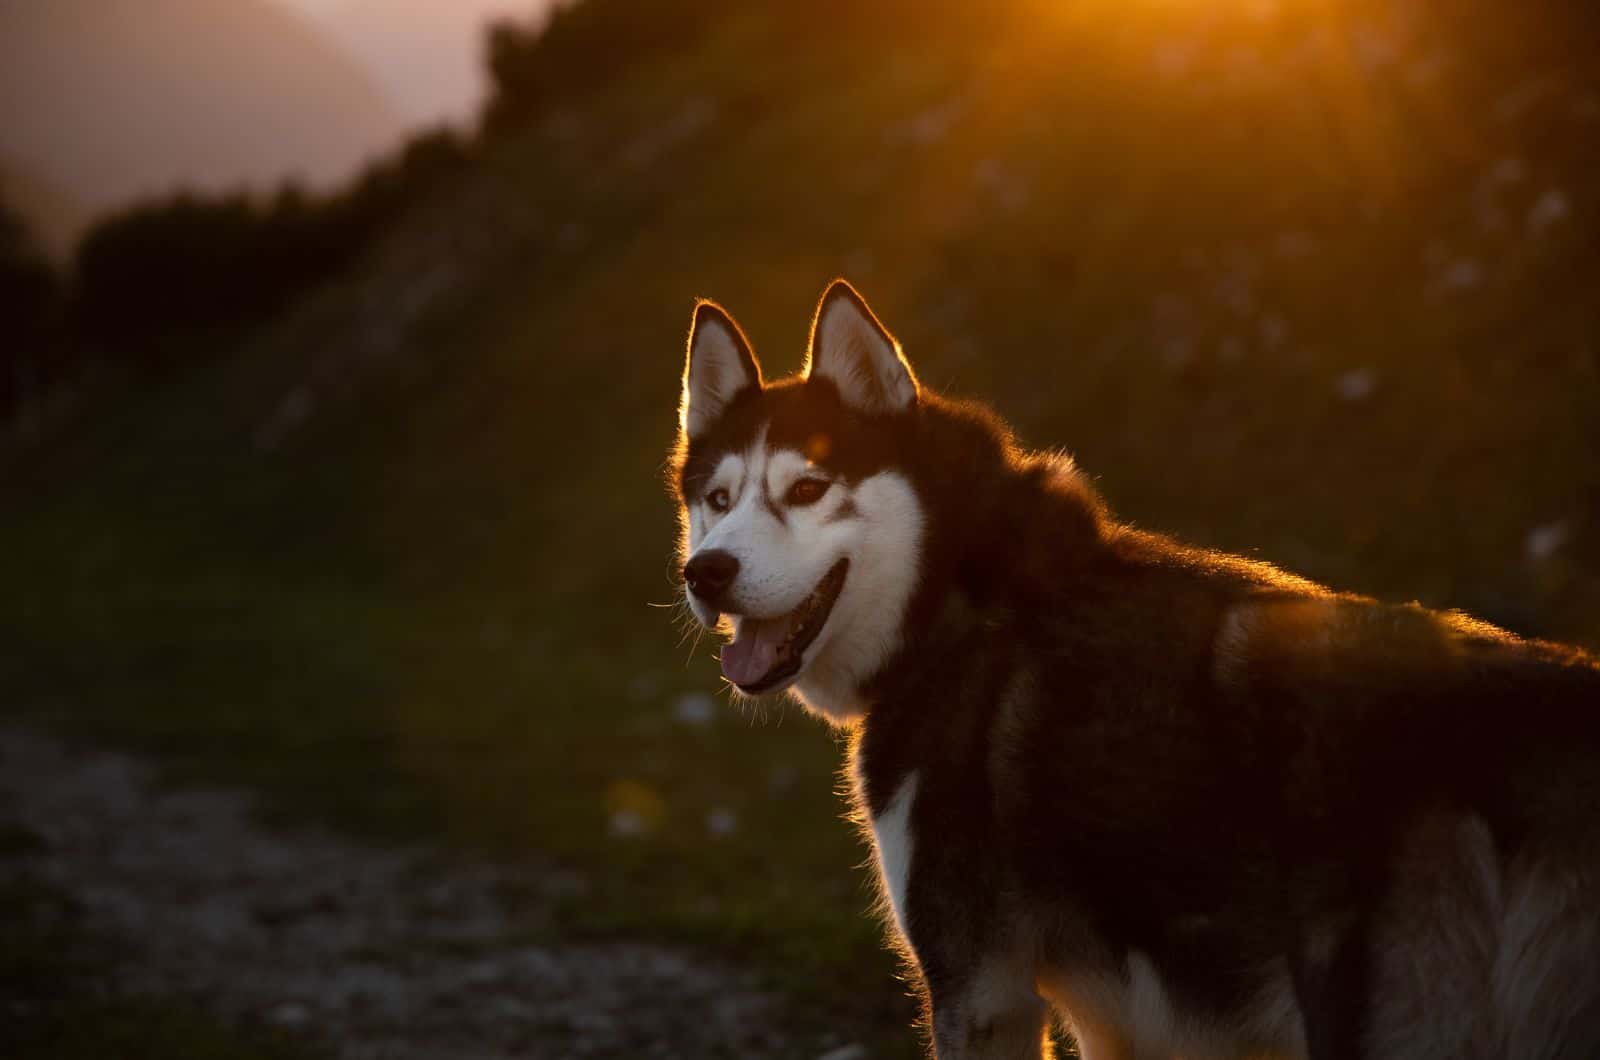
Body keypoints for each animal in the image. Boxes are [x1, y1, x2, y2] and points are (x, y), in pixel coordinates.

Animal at [665, 281, 1600, 1060]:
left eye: (808, 488)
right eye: (717, 499)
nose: (705, 573)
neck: (953, 605)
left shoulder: (984, 991)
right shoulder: (1118, 1019)